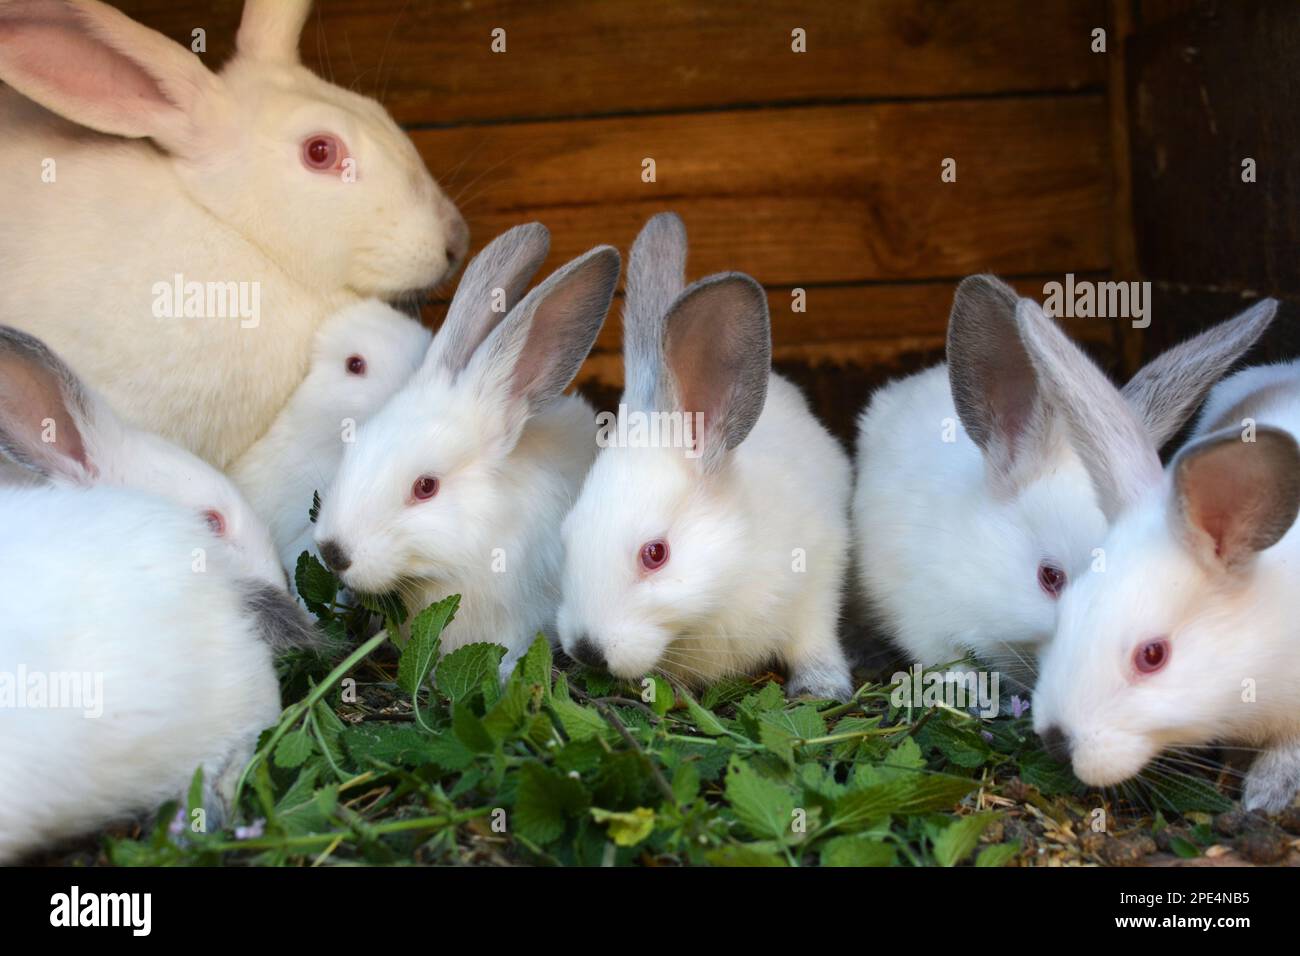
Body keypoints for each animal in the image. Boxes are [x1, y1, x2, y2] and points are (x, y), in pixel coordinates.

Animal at [555, 213, 856, 701]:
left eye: (655, 554)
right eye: (567, 533)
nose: (587, 649)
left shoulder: (820, 573)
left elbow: (814, 638)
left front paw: (820, 687)